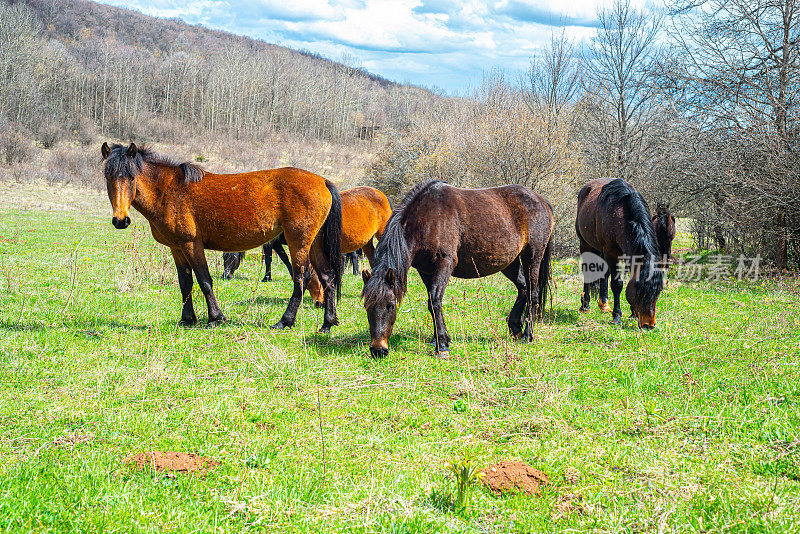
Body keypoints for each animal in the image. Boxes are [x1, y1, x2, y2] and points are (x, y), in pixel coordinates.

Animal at [100, 144, 340, 332]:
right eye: (108, 177)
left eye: (131, 177)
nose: (120, 220)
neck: (167, 191)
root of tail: (323, 181)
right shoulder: (176, 248)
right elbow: (185, 283)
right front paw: (187, 319)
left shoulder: (191, 244)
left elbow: (204, 281)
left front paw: (215, 318)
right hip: (313, 243)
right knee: (327, 277)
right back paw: (327, 323)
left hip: (298, 241)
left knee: (301, 278)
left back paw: (285, 321)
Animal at [360, 180, 552, 360]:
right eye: (366, 306)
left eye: (391, 305)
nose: (378, 350)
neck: (427, 218)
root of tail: (542, 201)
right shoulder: (425, 271)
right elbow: (432, 302)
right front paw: (438, 339)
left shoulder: (444, 264)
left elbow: (435, 301)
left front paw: (442, 345)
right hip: (509, 262)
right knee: (523, 288)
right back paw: (515, 327)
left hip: (532, 257)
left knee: (533, 294)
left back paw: (527, 335)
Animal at [576, 178, 664, 328]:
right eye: (640, 290)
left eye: (658, 291)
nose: (649, 325)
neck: (620, 215)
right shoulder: (612, 253)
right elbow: (617, 285)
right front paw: (617, 316)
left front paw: (633, 313)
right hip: (585, 244)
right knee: (587, 270)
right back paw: (585, 304)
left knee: (604, 274)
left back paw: (604, 304)